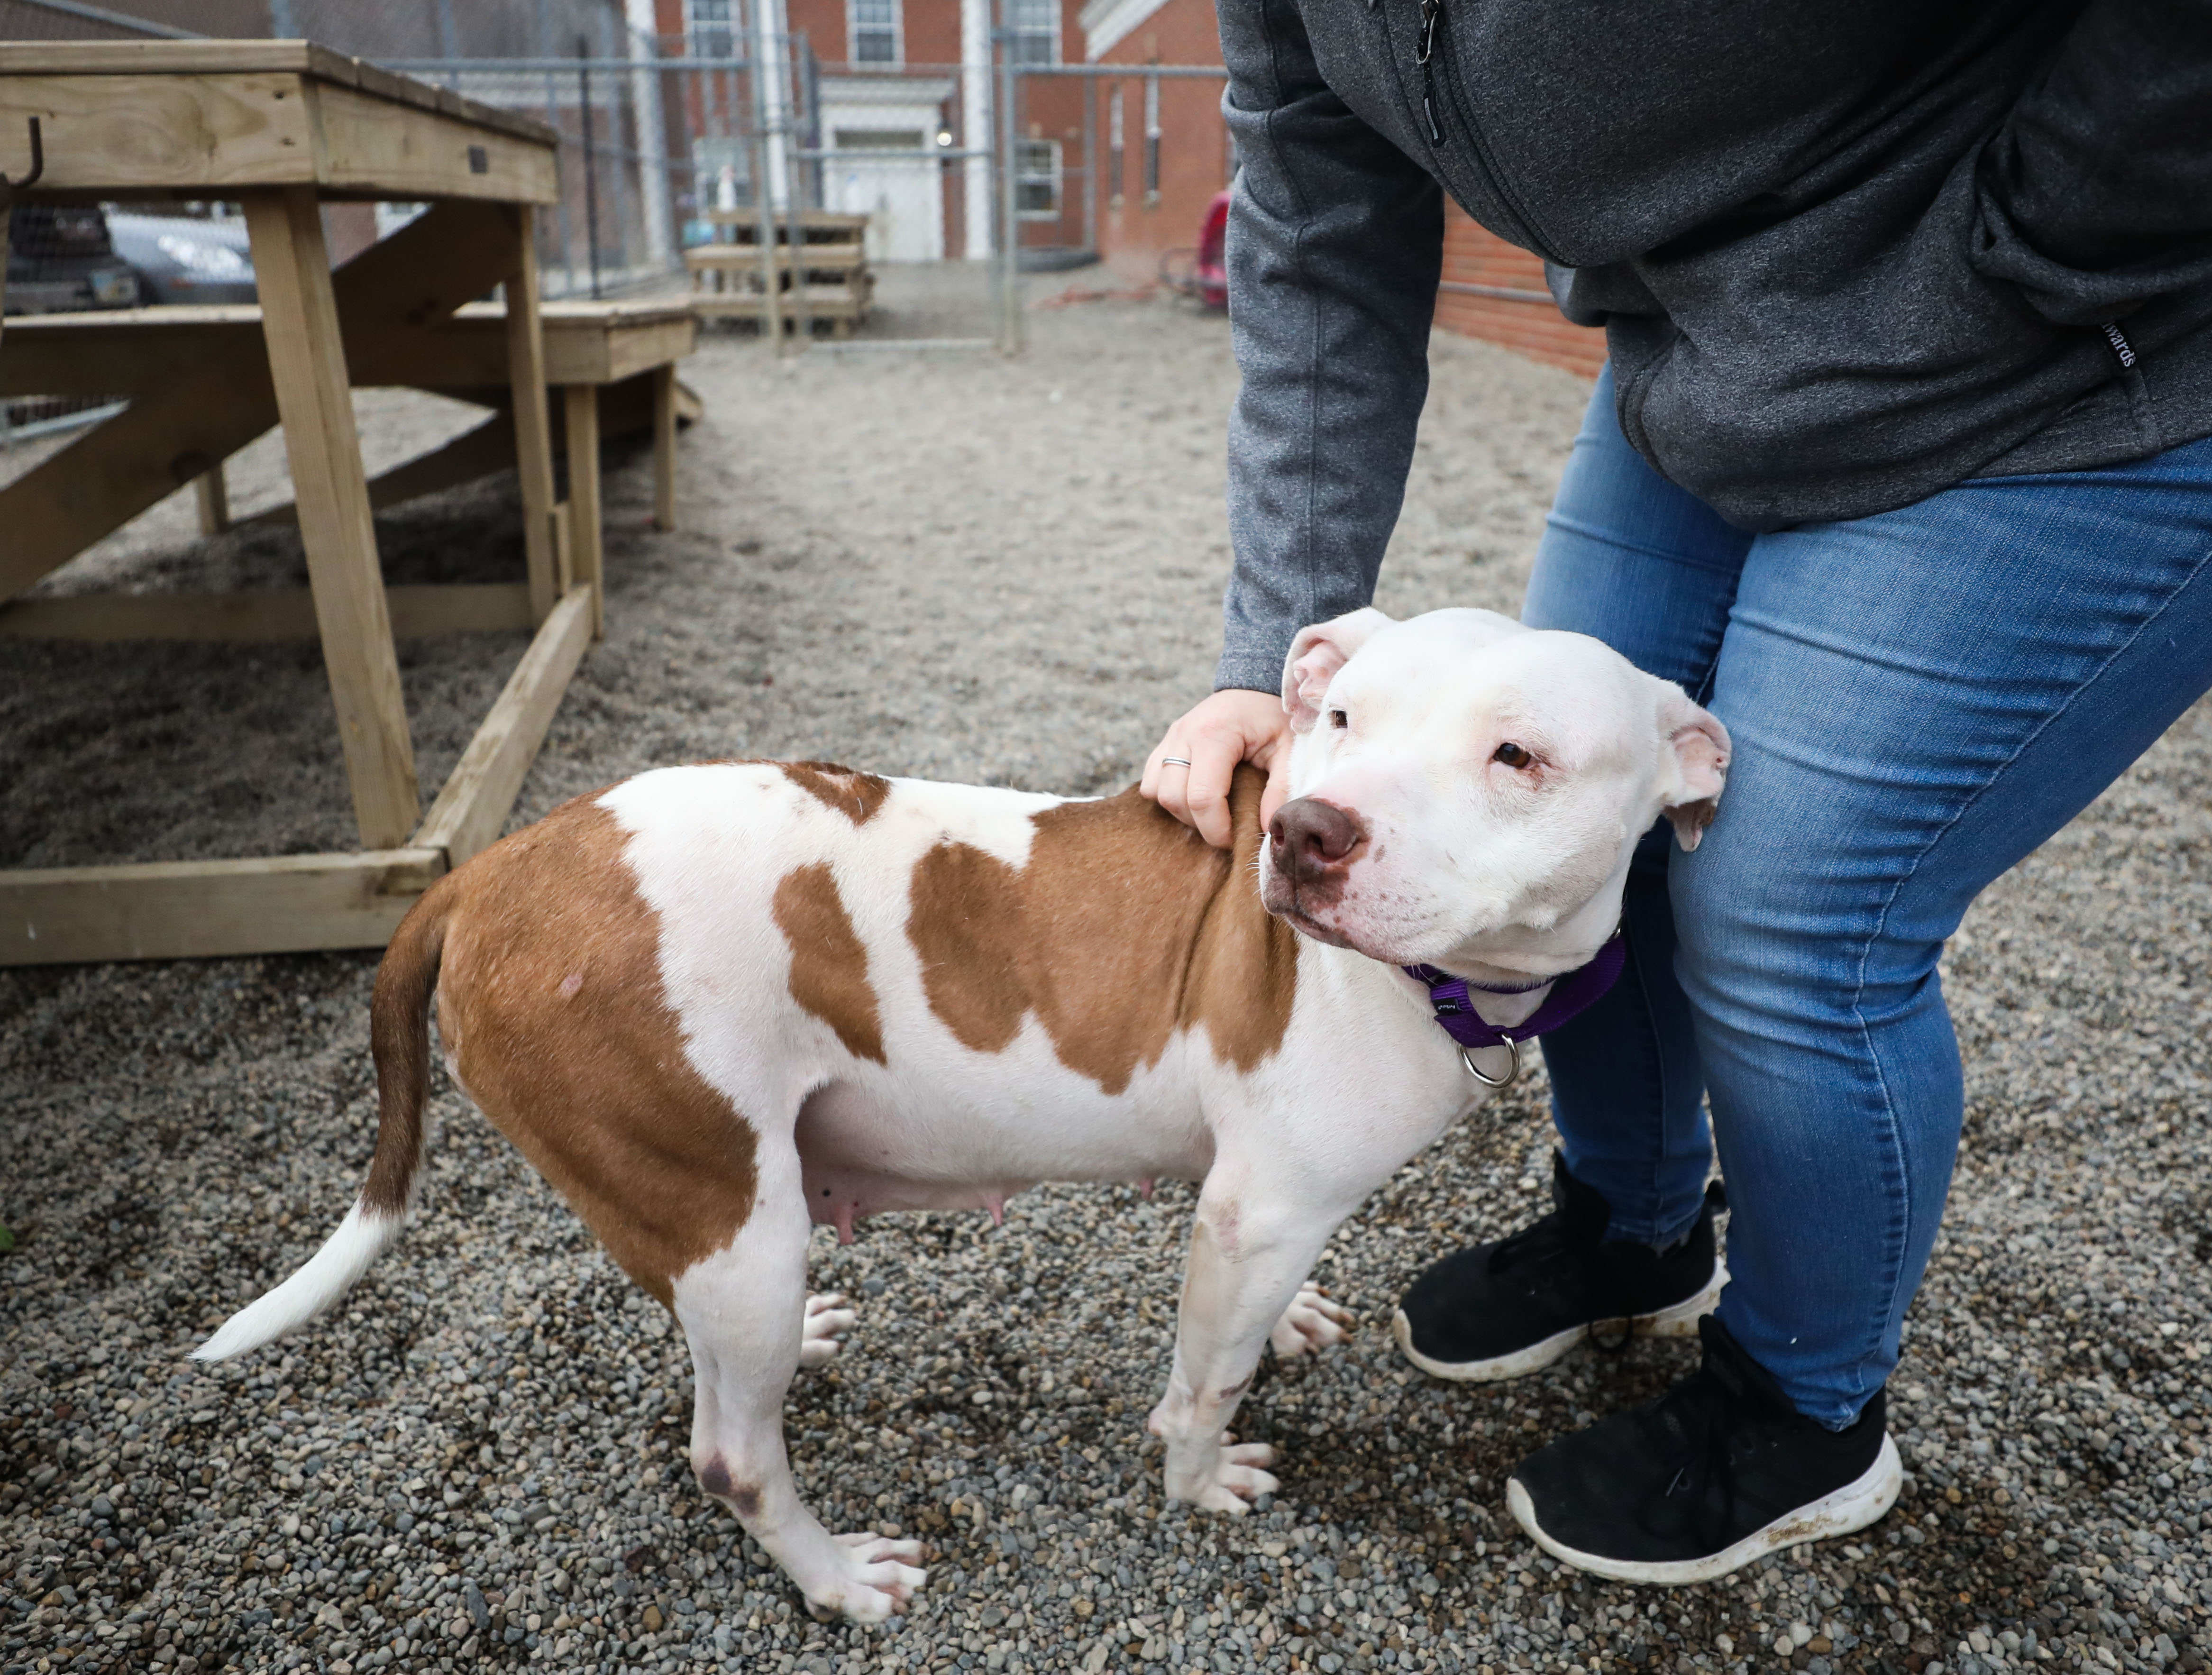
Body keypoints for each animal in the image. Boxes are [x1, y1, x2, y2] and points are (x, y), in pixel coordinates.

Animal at [194, 605, 1729, 1623]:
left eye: (1516, 756)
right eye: (1343, 721)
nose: (1306, 834)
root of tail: (490, 870)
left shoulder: (1255, 1193)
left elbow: (1253, 1315)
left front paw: (1289, 1323)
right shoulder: (1256, 1209)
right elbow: (1203, 1381)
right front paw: (1197, 1480)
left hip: (710, 1219)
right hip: (722, 1210)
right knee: (731, 1452)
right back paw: (837, 1577)